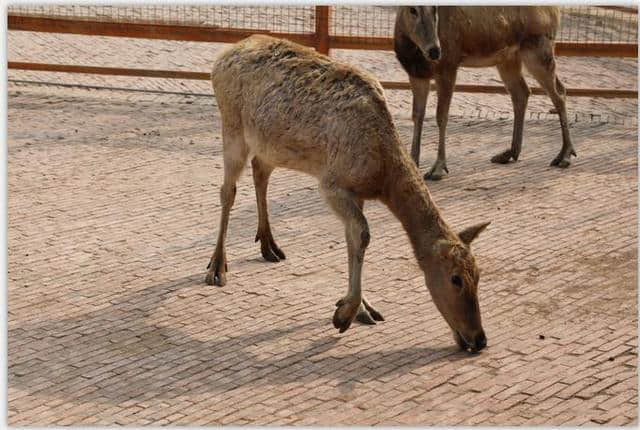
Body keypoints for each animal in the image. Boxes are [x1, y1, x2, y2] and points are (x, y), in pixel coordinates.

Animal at [205, 36, 490, 352]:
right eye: (456, 279)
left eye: (479, 274)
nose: (479, 339)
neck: (382, 175)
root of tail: (223, 55)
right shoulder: (331, 184)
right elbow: (363, 234)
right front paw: (344, 314)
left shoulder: (357, 192)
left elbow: (352, 239)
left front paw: (362, 309)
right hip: (232, 125)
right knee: (227, 190)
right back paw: (216, 267)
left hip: (269, 143)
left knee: (260, 169)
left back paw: (269, 246)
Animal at [396, 5, 580, 180]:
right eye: (412, 9)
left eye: (435, 9)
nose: (435, 51)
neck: (414, 54)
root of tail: (556, 10)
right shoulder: (416, 74)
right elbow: (417, 115)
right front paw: (413, 163)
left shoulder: (448, 66)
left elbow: (441, 116)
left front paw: (438, 168)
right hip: (508, 58)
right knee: (523, 92)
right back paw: (509, 153)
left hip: (538, 48)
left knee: (558, 93)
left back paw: (564, 155)